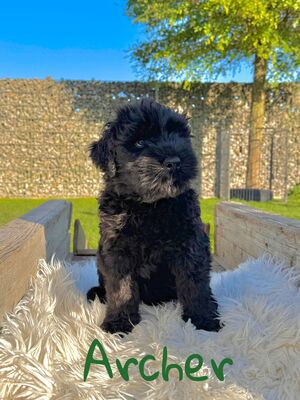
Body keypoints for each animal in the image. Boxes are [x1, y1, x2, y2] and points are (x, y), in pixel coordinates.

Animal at [88, 100, 219, 334]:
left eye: (178, 135)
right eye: (139, 142)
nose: (174, 161)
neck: (151, 207)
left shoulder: (191, 242)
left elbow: (196, 283)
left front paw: (203, 318)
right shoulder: (117, 248)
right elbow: (121, 288)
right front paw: (119, 322)